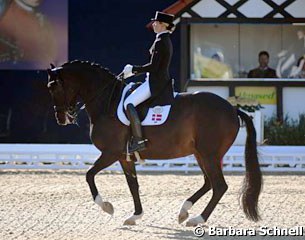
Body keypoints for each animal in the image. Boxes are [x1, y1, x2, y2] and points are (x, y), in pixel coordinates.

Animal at [47, 61, 262, 226]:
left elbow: (89, 175)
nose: (61, 118)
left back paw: (197, 219)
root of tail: (232, 109)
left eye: (53, 87)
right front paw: (135, 216)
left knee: (219, 186)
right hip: (201, 154)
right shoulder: (124, 157)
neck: (106, 101)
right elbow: (133, 184)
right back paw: (184, 211)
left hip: (209, 154)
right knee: (209, 182)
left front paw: (107, 207)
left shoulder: (110, 153)